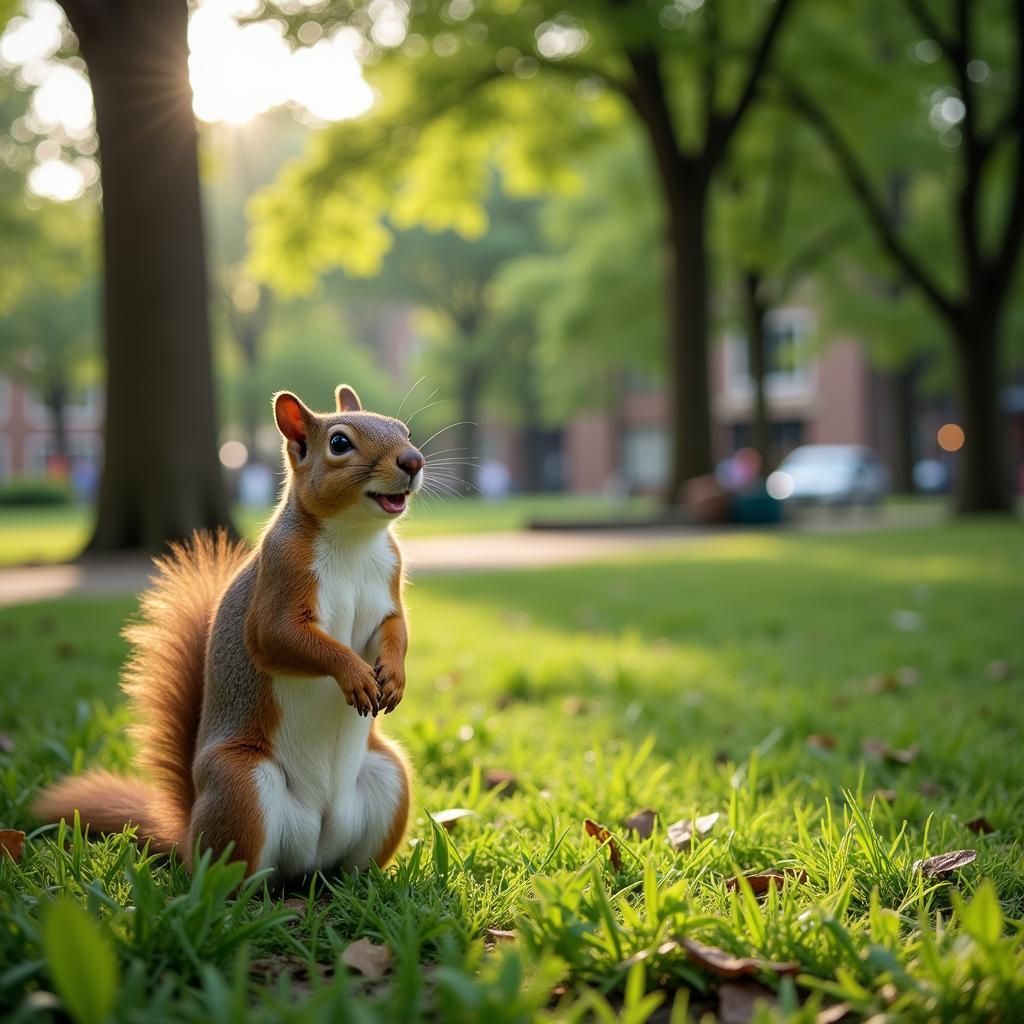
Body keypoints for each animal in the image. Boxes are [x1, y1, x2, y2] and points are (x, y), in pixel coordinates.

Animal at [32, 385, 423, 880]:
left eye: (406, 431)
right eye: (339, 443)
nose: (413, 460)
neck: (354, 539)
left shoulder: (388, 588)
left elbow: (395, 629)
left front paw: (394, 675)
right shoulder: (280, 579)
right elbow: (279, 639)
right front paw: (354, 674)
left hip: (388, 777)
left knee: (347, 864)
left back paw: (361, 882)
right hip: (241, 785)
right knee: (235, 878)